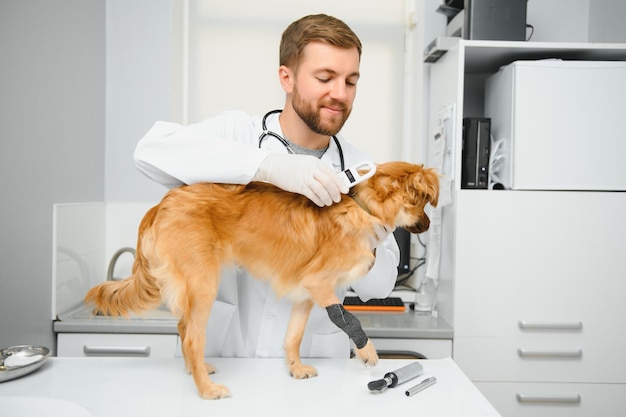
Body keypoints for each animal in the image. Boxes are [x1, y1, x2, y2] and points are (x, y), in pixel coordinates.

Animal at [84, 160, 438, 400]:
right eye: (422, 203)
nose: (429, 225)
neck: (361, 206)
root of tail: (161, 205)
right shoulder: (320, 284)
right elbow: (347, 318)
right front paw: (367, 352)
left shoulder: (306, 294)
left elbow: (293, 336)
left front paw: (295, 369)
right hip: (203, 282)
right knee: (192, 337)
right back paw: (207, 389)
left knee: (183, 327)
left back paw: (195, 371)